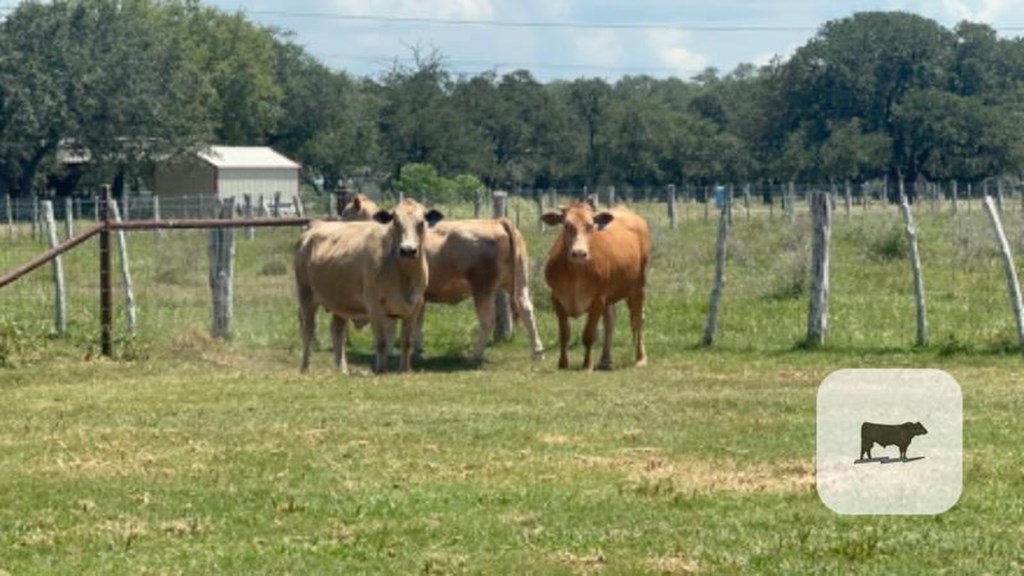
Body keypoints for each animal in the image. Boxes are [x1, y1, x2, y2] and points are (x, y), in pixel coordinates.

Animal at [292, 198, 444, 373]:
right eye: (396, 222)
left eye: (421, 223)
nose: (408, 250)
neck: (403, 273)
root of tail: (311, 230)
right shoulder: (375, 306)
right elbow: (381, 342)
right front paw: (381, 370)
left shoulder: (414, 306)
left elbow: (406, 342)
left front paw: (405, 370)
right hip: (306, 296)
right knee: (308, 331)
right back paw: (304, 368)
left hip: (340, 302)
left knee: (337, 331)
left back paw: (342, 370)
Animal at [540, 199, 651, 368]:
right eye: (566, 225)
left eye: (590, 225)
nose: (579, 253)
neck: (575, 274)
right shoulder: (557, 298)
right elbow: (564, 334)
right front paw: (563, 363)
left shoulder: (598, 299)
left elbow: (589, 334)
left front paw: (587, 364)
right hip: (611, 296)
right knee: (610, 322)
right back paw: (605, 360)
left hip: (638, 286)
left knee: (637, 319)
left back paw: (640, 358)